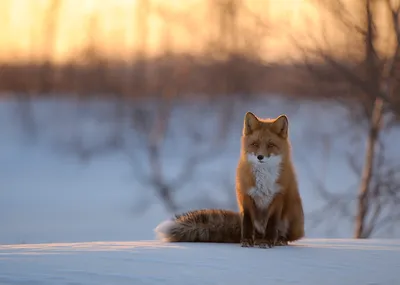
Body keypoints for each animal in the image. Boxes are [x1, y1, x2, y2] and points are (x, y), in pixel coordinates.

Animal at [155, 111, 304, 246]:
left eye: (270, 145)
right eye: (255, 144)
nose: (260, 157)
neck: (263, 177)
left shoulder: (278, 196)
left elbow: (272, 223)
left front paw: (267, 241)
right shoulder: (245, 195)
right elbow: (247, 222)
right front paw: (246, 241)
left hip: (293, 217)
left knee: (285, 235)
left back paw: (278, 240)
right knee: (254, 232)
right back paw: (256, 240)